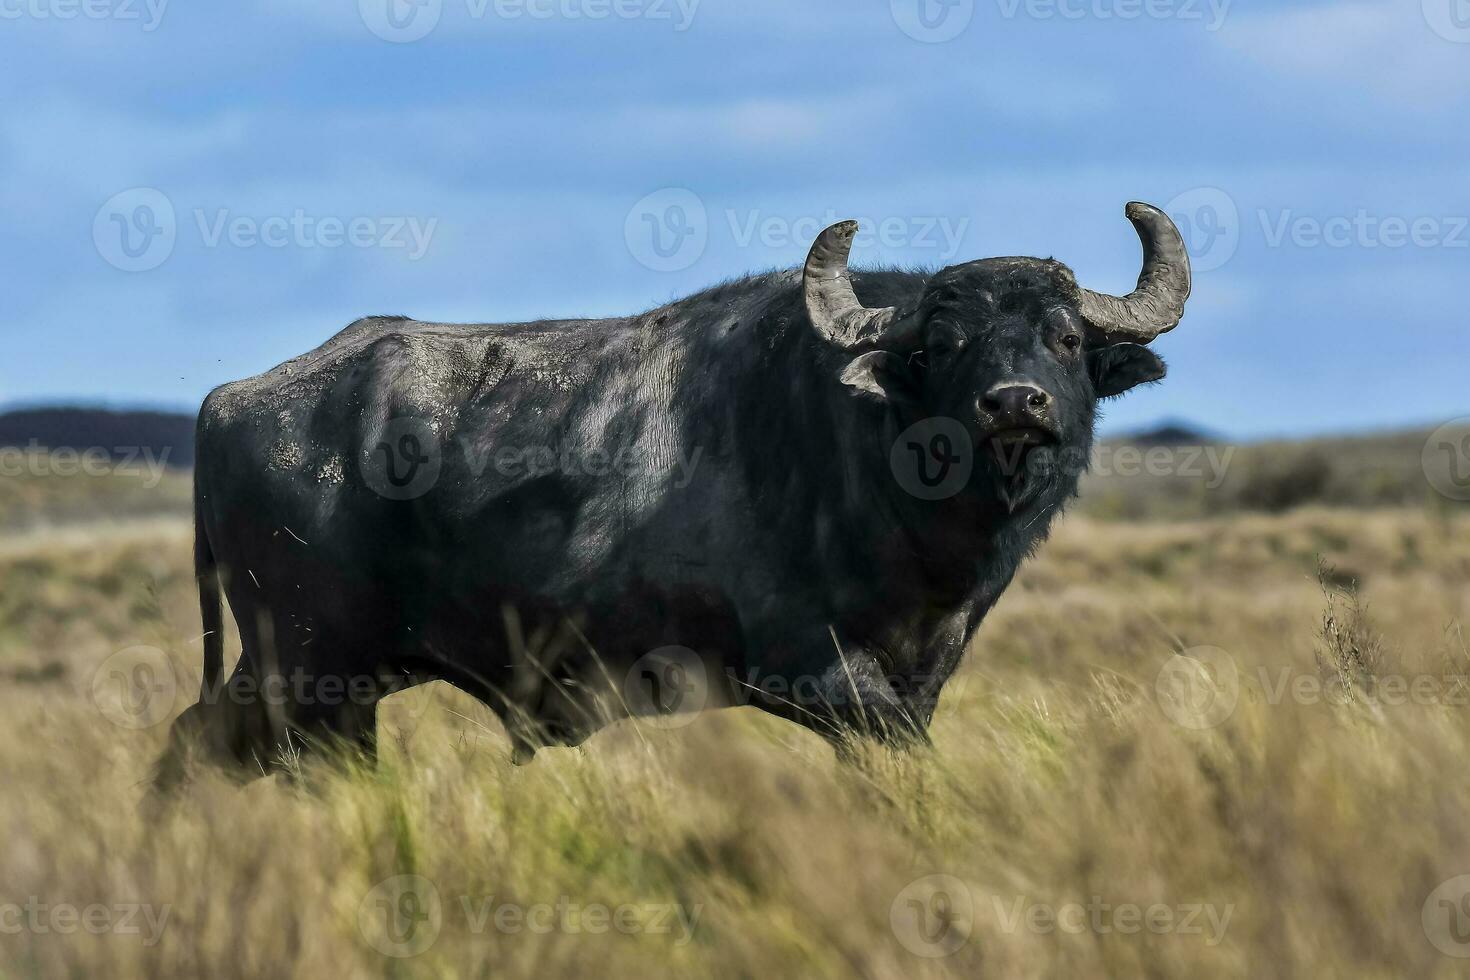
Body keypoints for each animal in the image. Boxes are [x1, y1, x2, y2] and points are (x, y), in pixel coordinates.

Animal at [155, 201, 1187, 787]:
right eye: (942, 345)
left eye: (1064, 337)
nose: (1013, 403)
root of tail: (229, 399)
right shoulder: (817, 674)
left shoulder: (918, 677)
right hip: (312, 677)